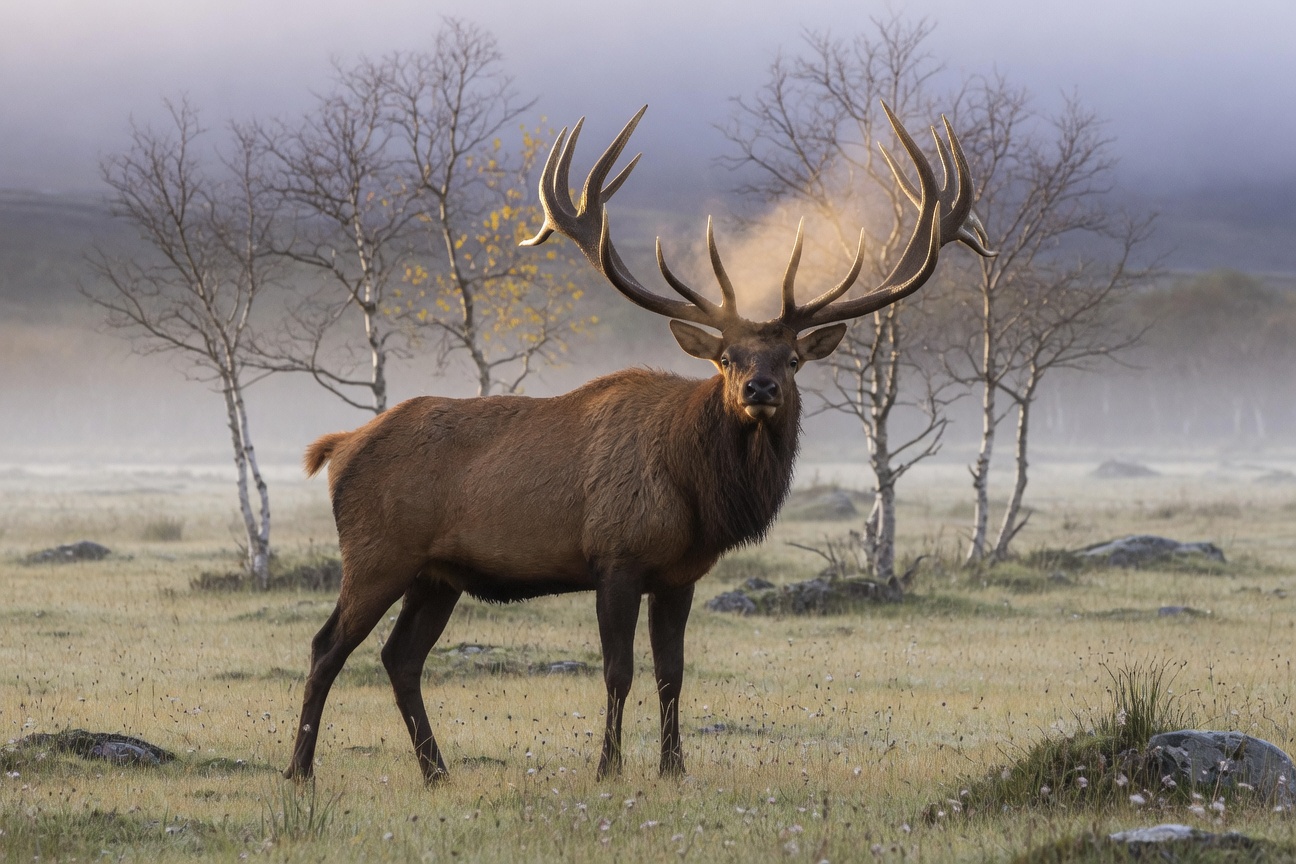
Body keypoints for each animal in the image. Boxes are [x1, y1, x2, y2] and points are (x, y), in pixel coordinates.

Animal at [283, 104, 993, 785]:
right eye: (727, 359)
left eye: (791, 359)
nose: (760, 387)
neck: (696, 492)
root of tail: (337, 447)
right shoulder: (616, 556)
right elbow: (618, 672)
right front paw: (608, 766)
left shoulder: (678, 574)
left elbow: (671, 674)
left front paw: (674, 768)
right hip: (378, 553)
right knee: (327, 647)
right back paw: (300, 771)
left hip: (437, 573)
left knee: (400, 657)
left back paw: (436, 771)